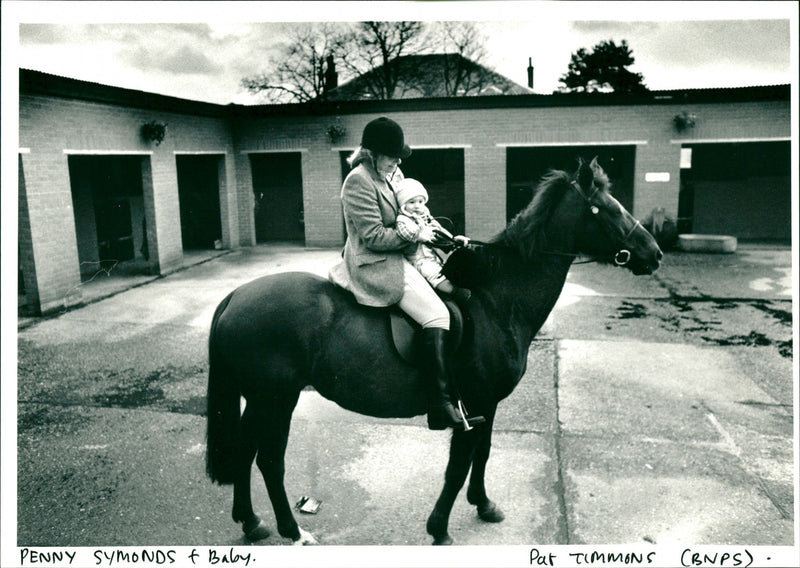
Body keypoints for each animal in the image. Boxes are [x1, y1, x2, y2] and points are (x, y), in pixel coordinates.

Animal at [205, 156, 664, 544]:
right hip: (274, 398)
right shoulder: (472, 402)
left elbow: (483, 453)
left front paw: (484, 505)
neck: (497, 300)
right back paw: (291, 530)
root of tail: (234, 296)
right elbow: (457, 466)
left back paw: (252, 522)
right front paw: (439, 528)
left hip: (262, 399)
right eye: (607, 209)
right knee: (268, 459)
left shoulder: (487, 404)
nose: (655, 253)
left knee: (246, 452)